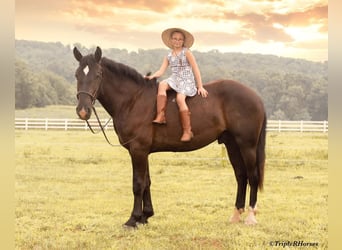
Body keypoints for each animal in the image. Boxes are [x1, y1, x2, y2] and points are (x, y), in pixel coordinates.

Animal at [73, 46, 268, 228]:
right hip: (232, 145)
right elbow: (147, 182)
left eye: (98, 74)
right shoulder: (143, 151)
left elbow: (138, 184)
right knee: (241, 176)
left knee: (252, 176)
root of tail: (256, 96)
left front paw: (133, 219)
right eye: (77, 75)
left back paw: (251, 216)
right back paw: (236, 215)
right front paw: (145, 216)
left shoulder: (138, 150)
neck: (133, 100)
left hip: (247, 145)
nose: (83, 110)